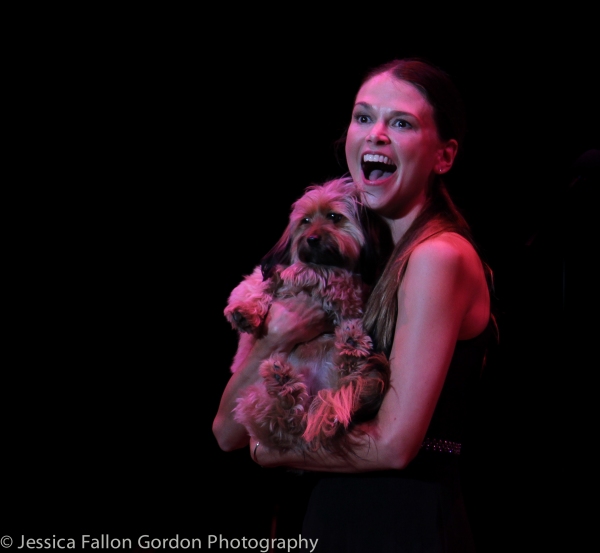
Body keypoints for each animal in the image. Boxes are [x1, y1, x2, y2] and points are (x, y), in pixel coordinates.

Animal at [223, 176, 392, 452]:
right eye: (305, 221)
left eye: (334, 217)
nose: (311, 239)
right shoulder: (266, 275)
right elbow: (257, 283)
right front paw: (243, 312)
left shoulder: (351, 295)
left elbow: (323, 275)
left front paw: (302, 272)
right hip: (252, 398)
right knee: (284, 420)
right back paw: (285, 385)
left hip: (356, 379)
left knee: (339, 385)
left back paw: (349, 344)